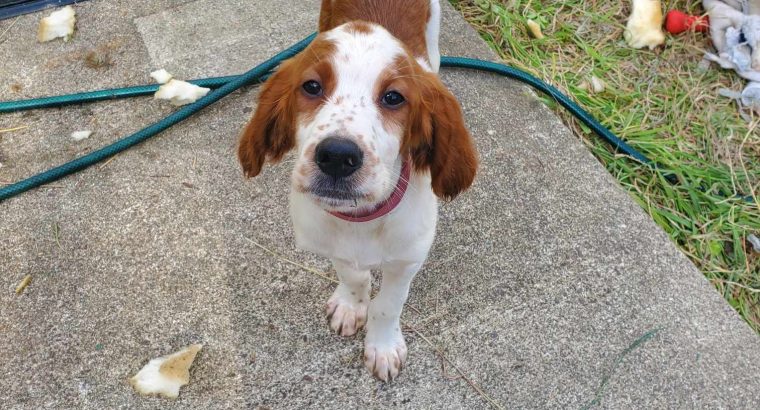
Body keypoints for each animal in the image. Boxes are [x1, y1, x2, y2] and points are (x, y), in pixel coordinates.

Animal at [238, 0, 476, 382]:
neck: (362, 218)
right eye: (311, 86)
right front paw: (351, 306)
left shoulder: (408, 259)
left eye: (393, 97)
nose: (337, 156)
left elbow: (388, 305)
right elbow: (353, 274)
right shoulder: (329, 241)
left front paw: (382, 346)